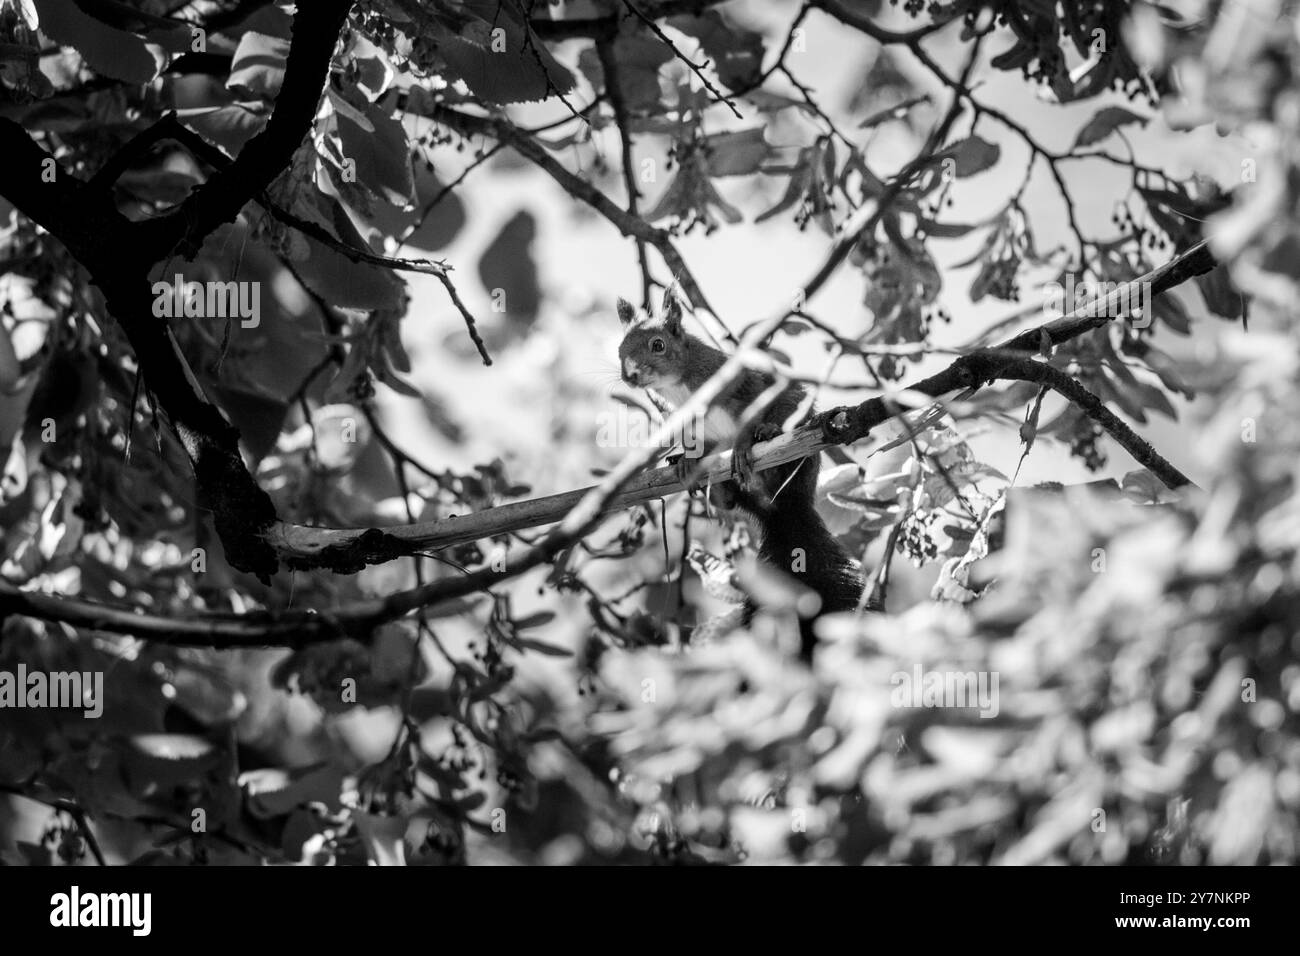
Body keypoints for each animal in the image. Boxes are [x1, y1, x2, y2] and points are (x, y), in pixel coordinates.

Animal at [616, 288, 865, 660]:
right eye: (620, 349)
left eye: (657, 345)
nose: (630, 375)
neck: (681, 388)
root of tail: (784, 507)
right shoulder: (690, 425)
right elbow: (702, 445)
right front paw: (687, 461)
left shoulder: (742, 385)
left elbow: (750, 414)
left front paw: (746, 442)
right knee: (731, 501)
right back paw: (718, 488)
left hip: (799, 449)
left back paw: (768, 436)